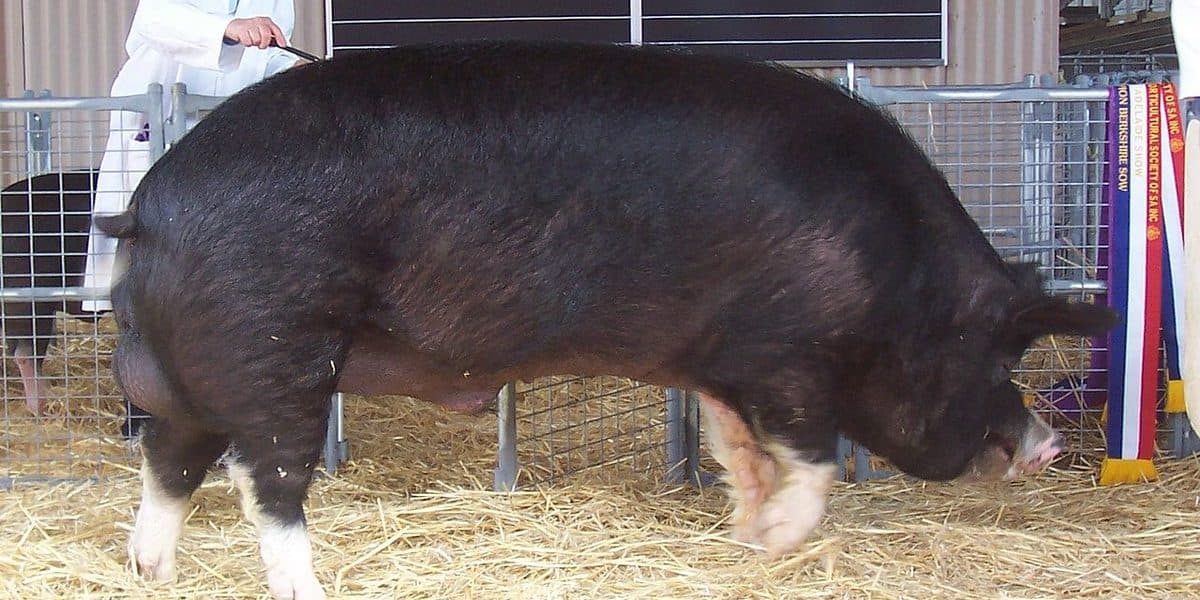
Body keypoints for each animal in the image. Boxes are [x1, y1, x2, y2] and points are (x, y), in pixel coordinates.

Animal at [97, 41, 1116, 599]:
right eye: (998, 354)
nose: (1051, 444)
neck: (897, 274)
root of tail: (151, 207)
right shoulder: (787, 352)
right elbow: (816, 456)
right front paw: (781, 542)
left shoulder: (719, 359)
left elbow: (735, 446)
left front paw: (745, 532)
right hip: (276, 347)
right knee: (264, 481)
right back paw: (310, 590)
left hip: (185, 374)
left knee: (170, 465)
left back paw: (153, 575)